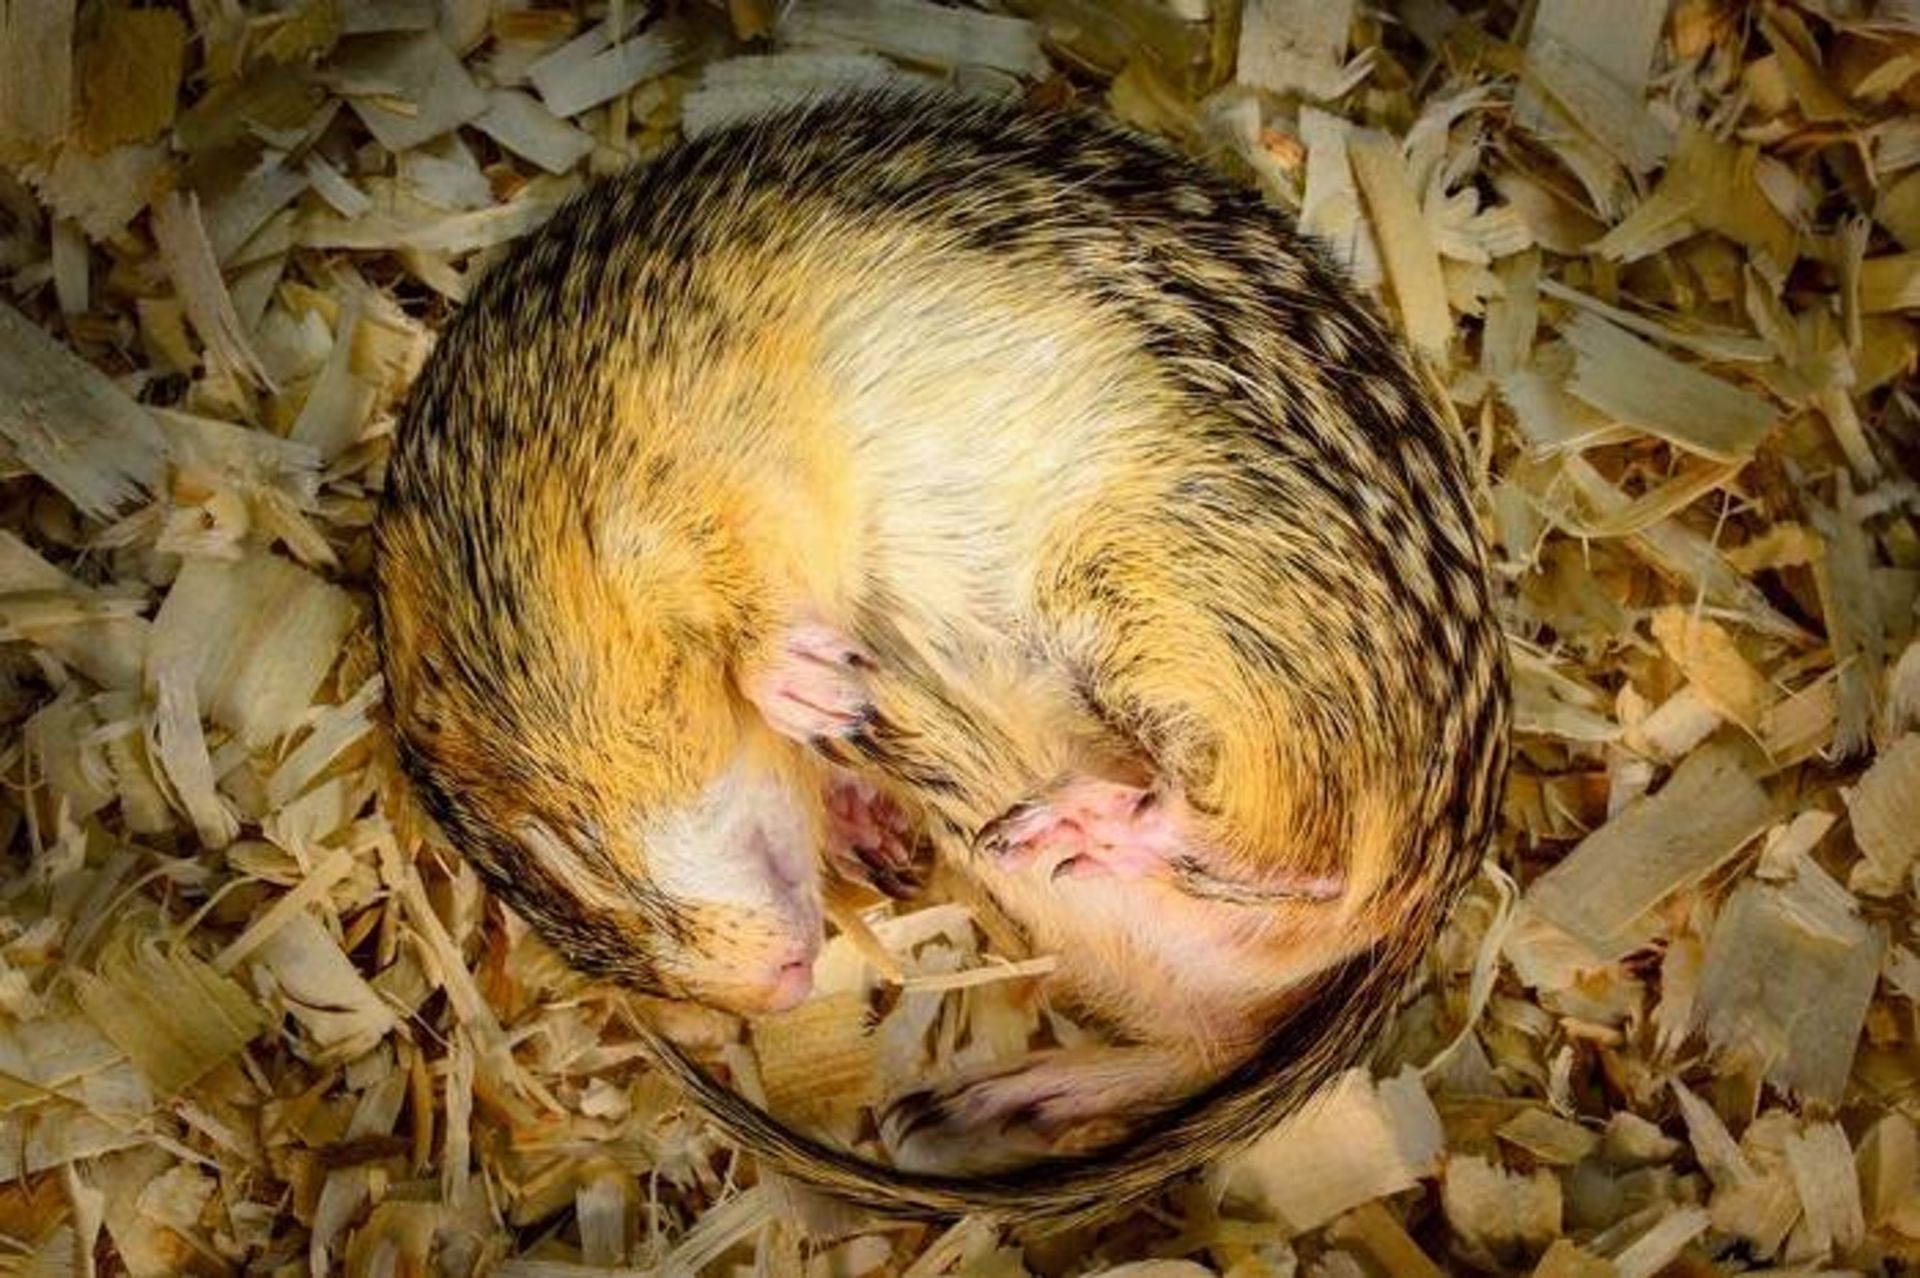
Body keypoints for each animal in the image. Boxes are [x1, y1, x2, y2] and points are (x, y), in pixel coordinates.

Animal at [373, 88, 1509, 1224]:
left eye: (548, 847)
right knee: (1217, 1029)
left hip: (1169, 621)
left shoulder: (709, 480)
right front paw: (857, 806)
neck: (538, 488)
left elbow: (760, 619)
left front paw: (809, 690)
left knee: (1306, 853)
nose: (781, 989)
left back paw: (1083, 818)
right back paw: (1001, 1094)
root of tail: (1436, 885)